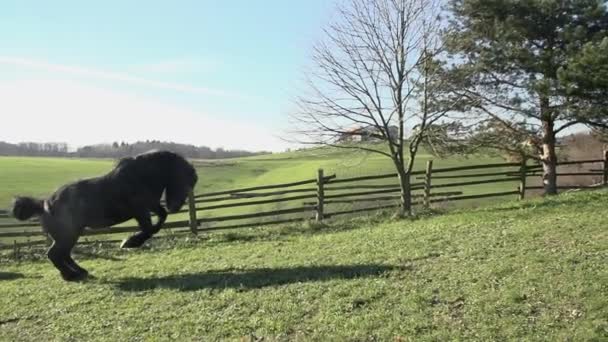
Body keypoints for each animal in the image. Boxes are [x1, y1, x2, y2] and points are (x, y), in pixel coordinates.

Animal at [11, 150, 197, 280]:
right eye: (183, 177)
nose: (177, 206)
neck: (141, 176)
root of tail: (44, 204)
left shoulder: (150, 206)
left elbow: (160, 219)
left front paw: (131, 241)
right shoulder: (140, 210)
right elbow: (149, 228)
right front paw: (129, 242)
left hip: (71, 234)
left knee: (62, 254)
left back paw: (79, 272)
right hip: (68, 235)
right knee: (55, 254)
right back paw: (72, 275)